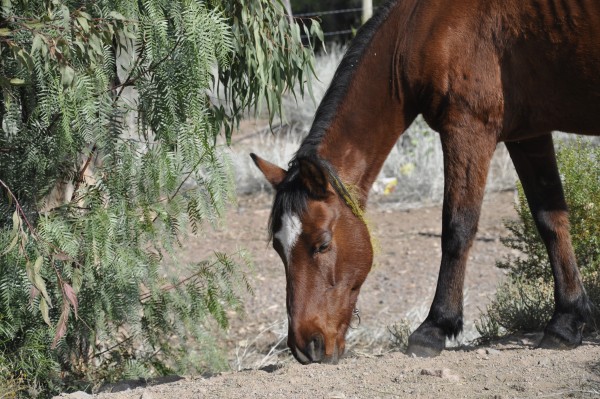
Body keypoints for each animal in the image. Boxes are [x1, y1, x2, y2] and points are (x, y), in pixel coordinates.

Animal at [250, 0, 600, 364]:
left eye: (322, 244)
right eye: (278, 248)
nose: (305, 346)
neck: (419, 28)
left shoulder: (468, 129)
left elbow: (457, 228)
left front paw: (435, 327)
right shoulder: (527, 135)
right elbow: (551, 219)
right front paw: (566, 322)